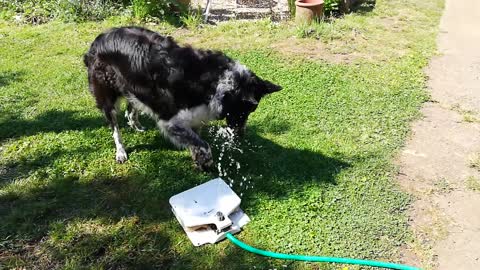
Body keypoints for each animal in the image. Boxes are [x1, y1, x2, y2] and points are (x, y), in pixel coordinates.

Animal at [84, 27, 282, 170]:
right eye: (245, 109)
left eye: (251, 111)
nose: (240, 136)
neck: (217, 83)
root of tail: (97, 40)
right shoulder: (170, 120)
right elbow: (203, 144)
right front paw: (206, 163)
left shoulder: (193, 117)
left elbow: (196, 140)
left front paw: (198, 159)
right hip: (107, 96)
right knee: (115, 127)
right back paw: (121, 152)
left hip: (133, 86)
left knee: (132, 108)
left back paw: (136, 125)